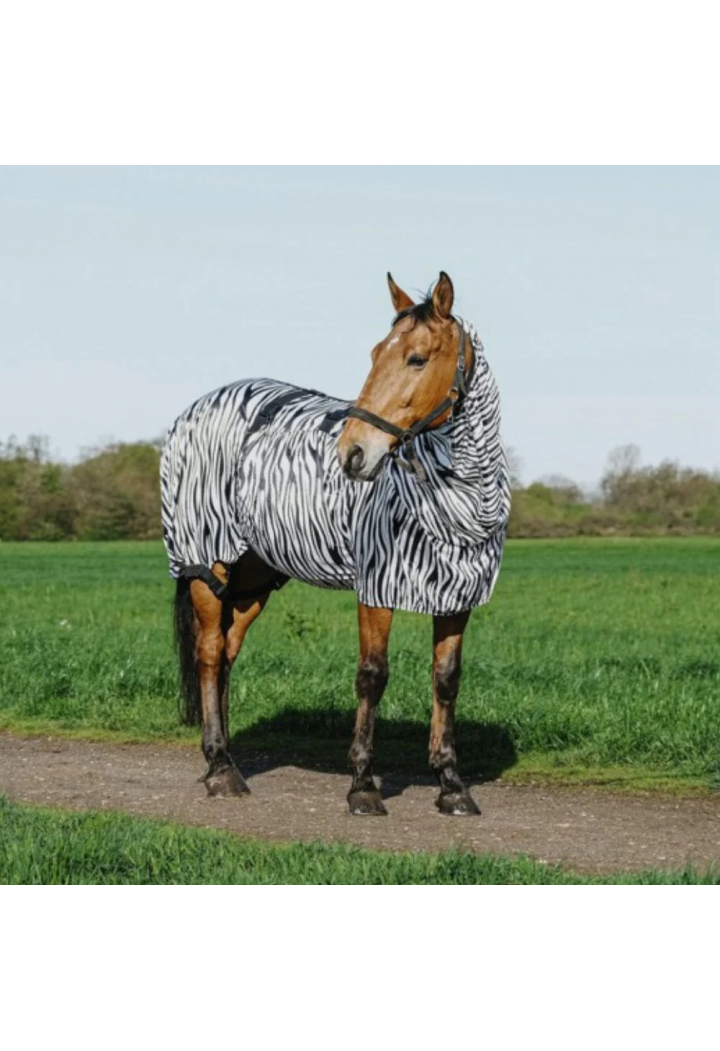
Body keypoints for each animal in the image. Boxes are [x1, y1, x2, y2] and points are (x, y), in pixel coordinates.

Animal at [161, 271, 510, 815]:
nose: (353, 454)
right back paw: (221, 770)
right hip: (207, 564)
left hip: (252, 580)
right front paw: (363, 785)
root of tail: (197, 408)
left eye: (416, 358)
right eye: (374, 353)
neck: (456, 504)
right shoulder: (376, 588)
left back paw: (224, 756)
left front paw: (452, 784)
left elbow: (446, 679)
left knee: (227, 655)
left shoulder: (458, 596)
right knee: (210, 654)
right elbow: (372, 675)